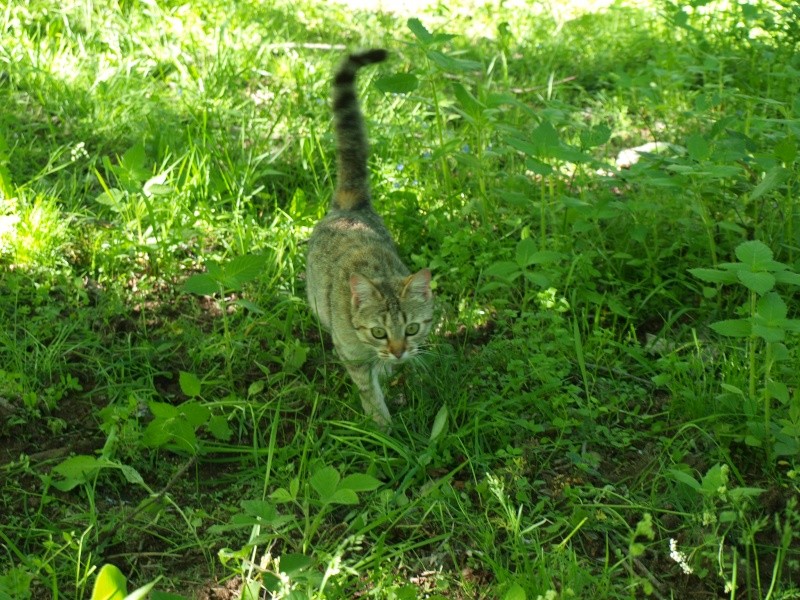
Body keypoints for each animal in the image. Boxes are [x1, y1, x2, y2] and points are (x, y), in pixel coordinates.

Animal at [304, 51, 432, 426]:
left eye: (412, 329)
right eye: (379, 332)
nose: (399, 352)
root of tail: (351, 206)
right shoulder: (354, 355)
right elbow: (369, 392)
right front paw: (383, 428)